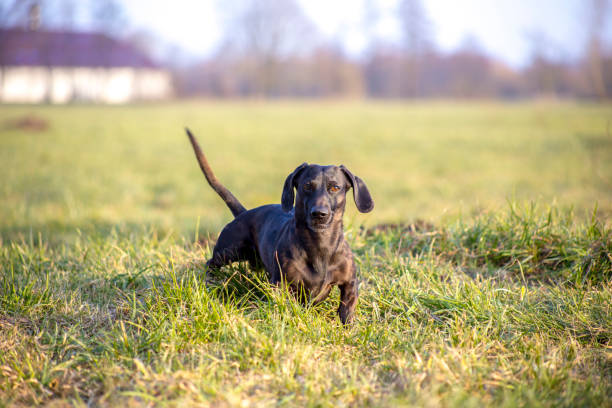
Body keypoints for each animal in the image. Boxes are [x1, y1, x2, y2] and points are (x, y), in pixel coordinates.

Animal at [185, 129, 372, 324]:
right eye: (307, 186)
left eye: (335, 187)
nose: (319, 214)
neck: (320, 245)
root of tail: (245, 212)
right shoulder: (281, 284)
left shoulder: (349, 284)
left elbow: (346, 310)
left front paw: (347, 326)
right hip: (228, 251)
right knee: (211, 263)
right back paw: (209, 281)